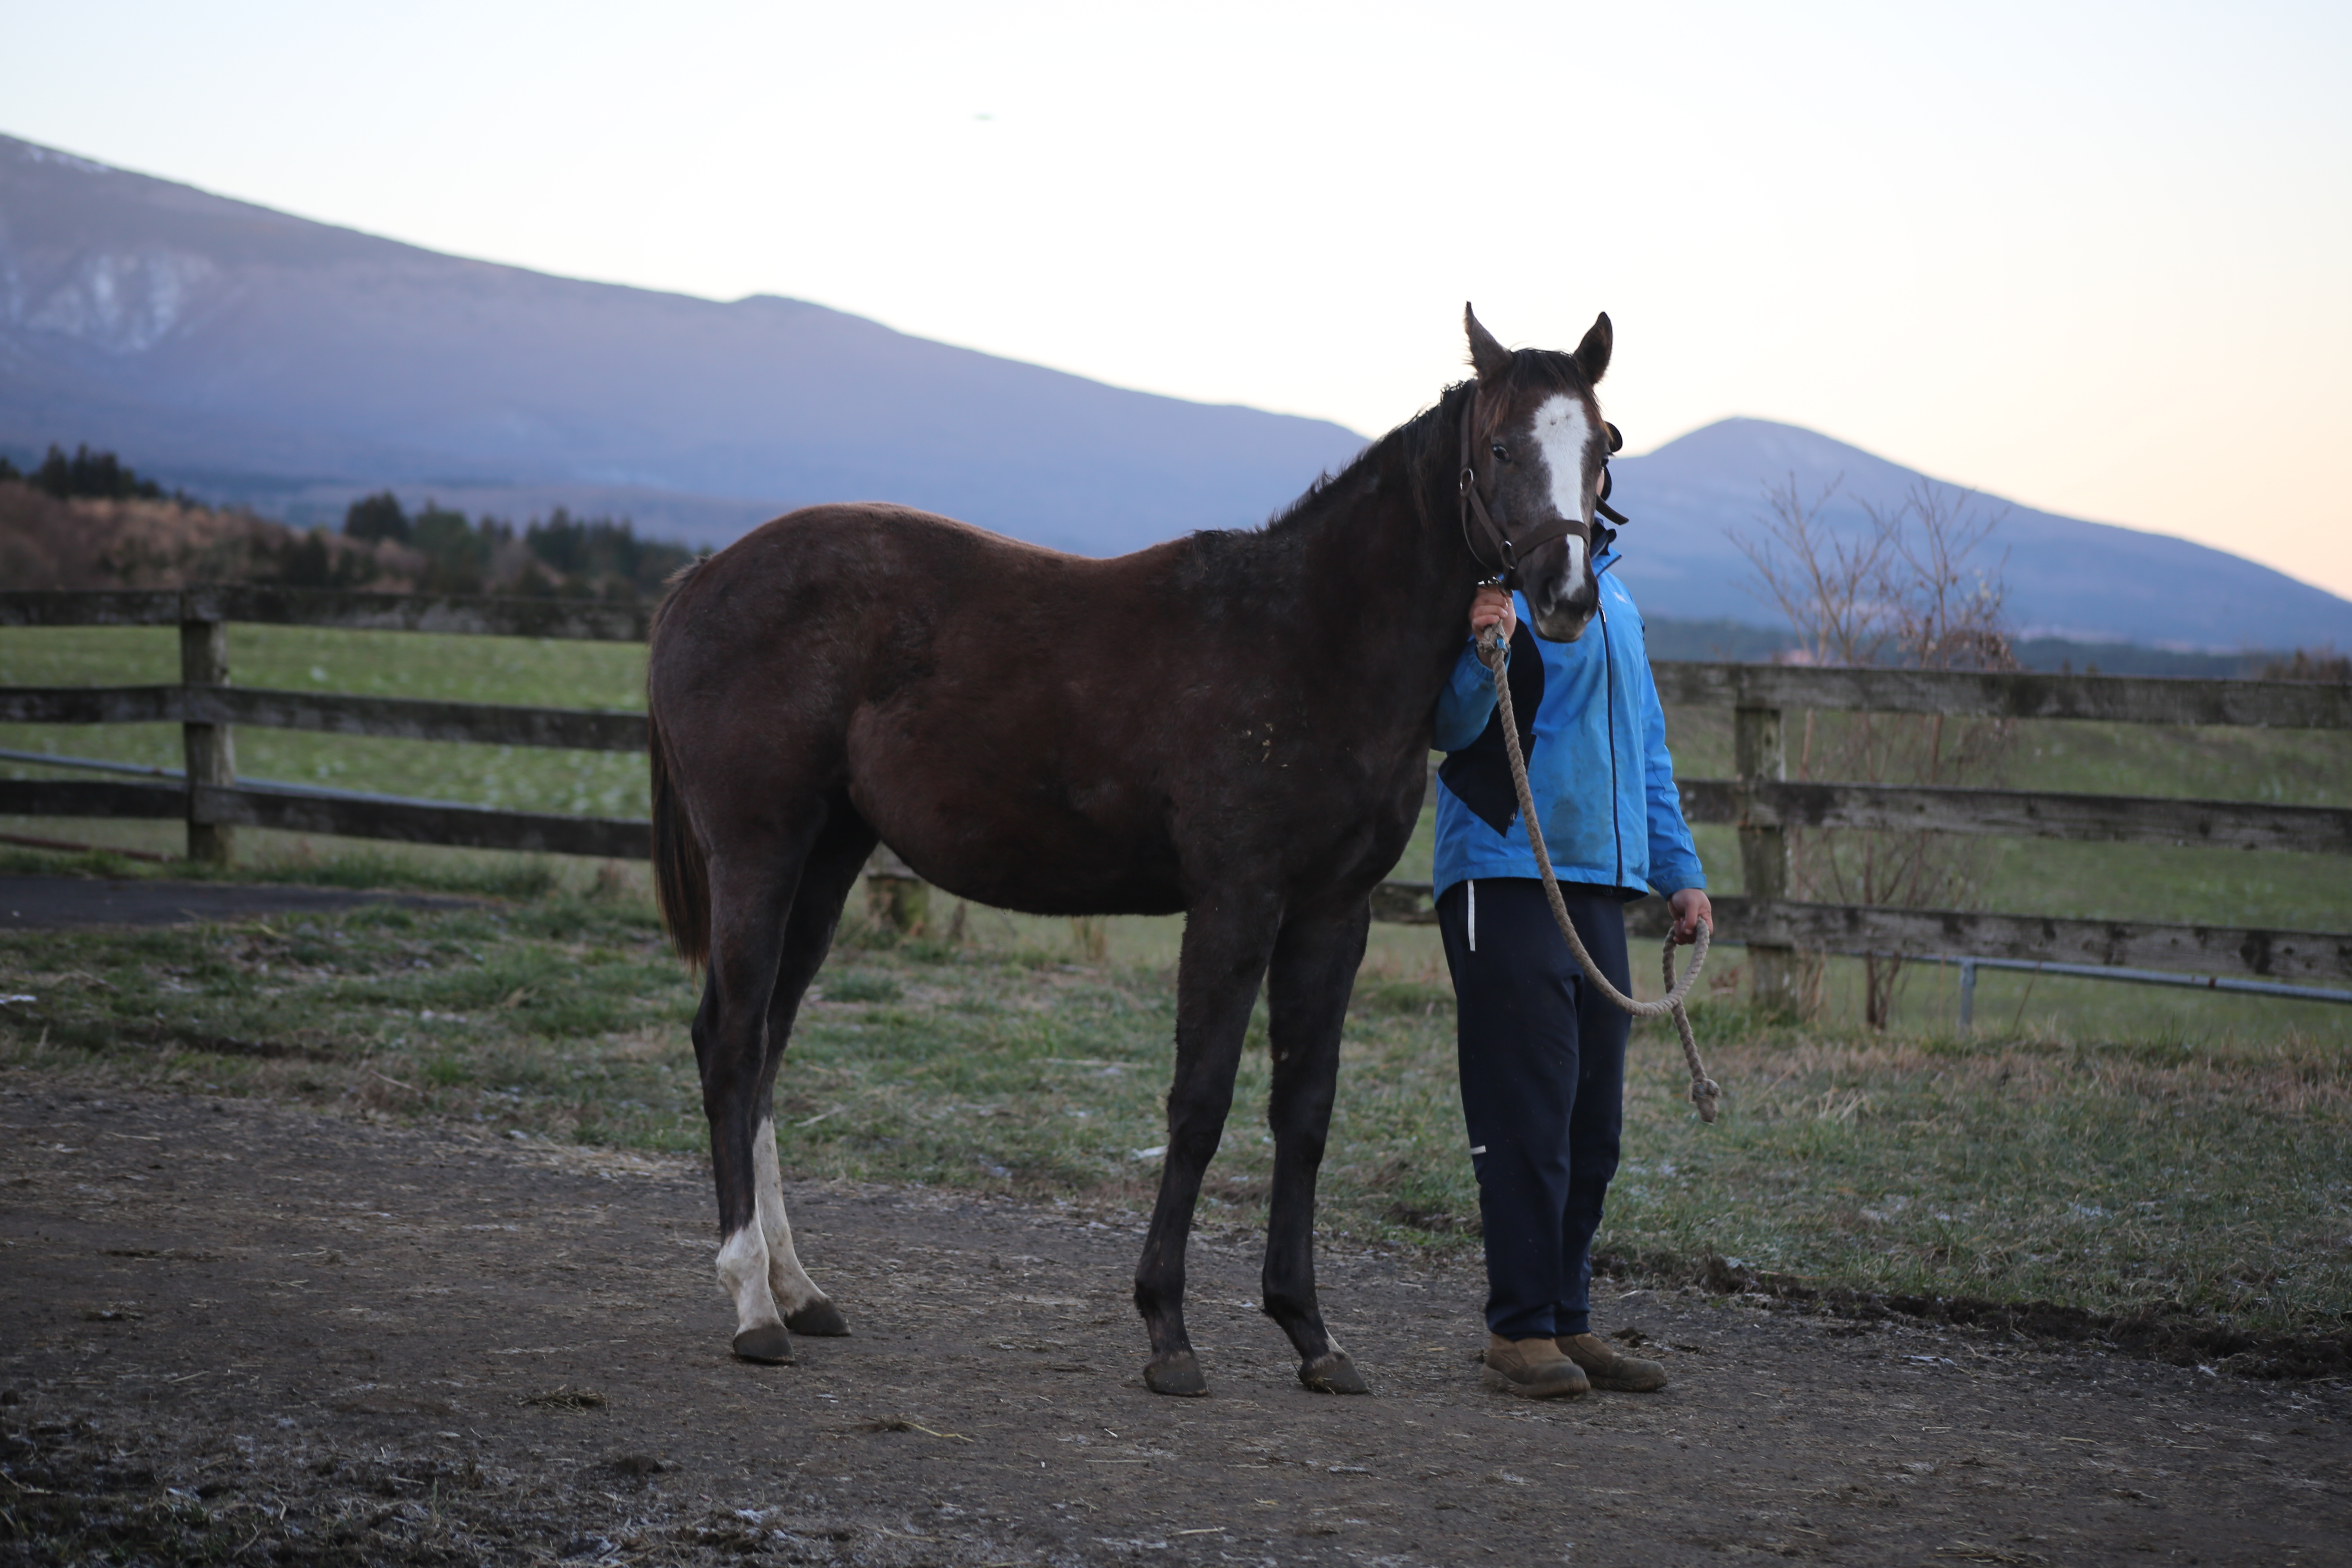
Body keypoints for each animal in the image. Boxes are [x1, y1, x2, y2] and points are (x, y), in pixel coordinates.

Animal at [654, 305, 1627, 1401]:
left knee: (770, 1045)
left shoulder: (1332, 915)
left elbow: (1304, 1110)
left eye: (1600, 447)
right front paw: (1167, 1328)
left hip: (825, 860)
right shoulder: (1235, 901)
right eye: (1501, 446)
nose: (1564, 596)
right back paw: (750, 1305)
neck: (1312, 638)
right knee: (733, 1042)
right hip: (758, 851)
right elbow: (1199, 1102)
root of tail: (701, 579)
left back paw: (797, 1290)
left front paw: (1309, 1330)